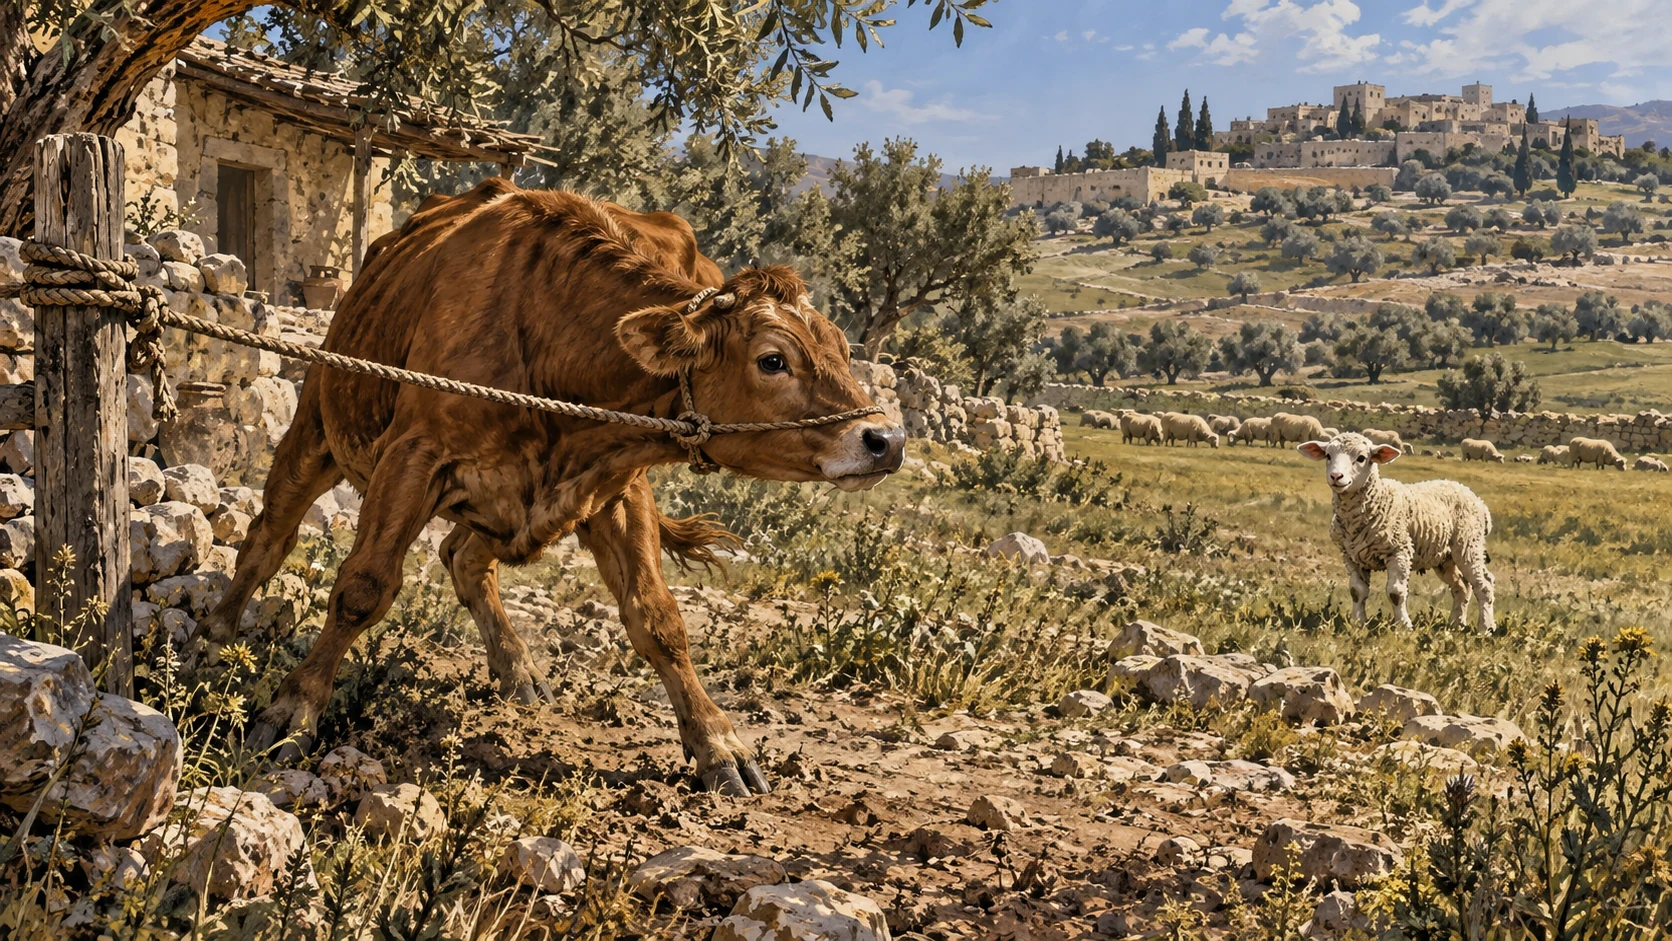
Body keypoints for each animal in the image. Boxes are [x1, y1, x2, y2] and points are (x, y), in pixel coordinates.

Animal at [1299, 433, 1495, 633]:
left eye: (1361, 458)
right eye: (1328, 456)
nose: (1336, 476)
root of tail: (1479, 501)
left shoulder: (1399, 551)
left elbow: (1395, 592)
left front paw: (1403, 626)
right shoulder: (1351, 556)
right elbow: (1357, 591)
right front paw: (1358, 623)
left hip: (1468, 545)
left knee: (1484, 585)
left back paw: (1485, 628)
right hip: (1444, 557)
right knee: (1461, 587)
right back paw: (1456, 623)